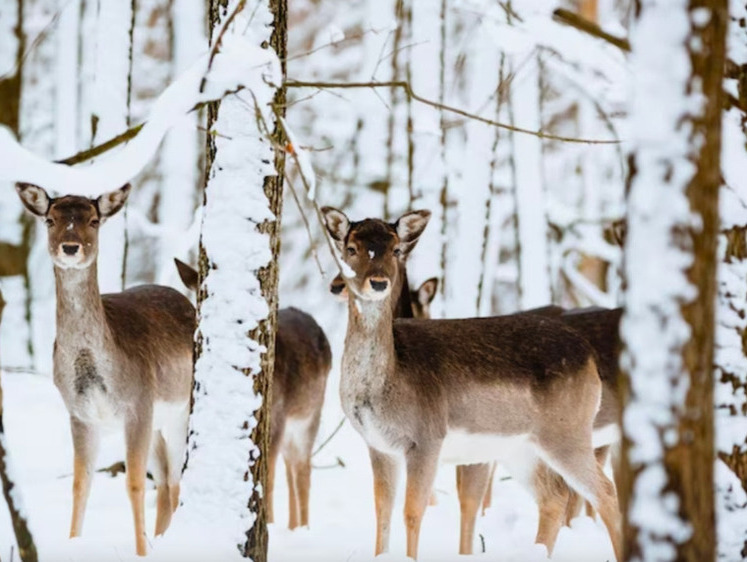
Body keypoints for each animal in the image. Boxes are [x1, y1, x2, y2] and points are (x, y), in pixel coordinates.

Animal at [16, 183, 196, 552]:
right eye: (50, 219)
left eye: (94, 220)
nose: (71, 247)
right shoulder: (79, 414)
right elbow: (80, 484)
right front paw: (73, 542)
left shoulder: (138, 403)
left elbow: (134, 484)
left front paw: (141, 553)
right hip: (158, 425)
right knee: (165, 484)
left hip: (178, 413)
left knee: (173, 482)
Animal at [175, 256, 330, 528]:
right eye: (199, 300)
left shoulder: (275, 418)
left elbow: (267, 481)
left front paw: (268, 524)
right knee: (291, 467)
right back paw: (293, 527)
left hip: (309, 416)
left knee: (303, 469)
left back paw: (303, 527)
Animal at [318, 207, 624, 560]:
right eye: (350, 249)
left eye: (395, 250)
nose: (378, 282)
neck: (388, 381)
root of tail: (587, 355)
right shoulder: (379, 445)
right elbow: (383, 510)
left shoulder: (427, 437)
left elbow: (413, 511)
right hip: (521, 446)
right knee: (555, 497)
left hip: (568, 432)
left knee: (605, 492)